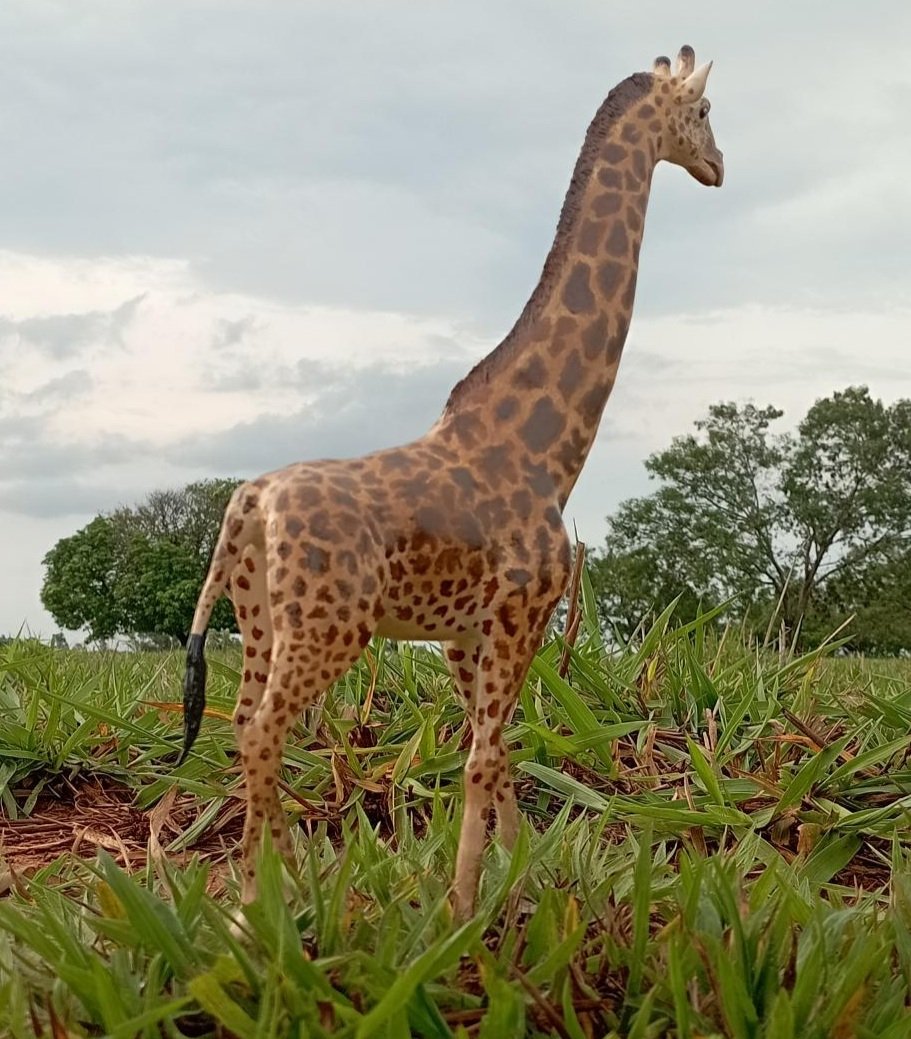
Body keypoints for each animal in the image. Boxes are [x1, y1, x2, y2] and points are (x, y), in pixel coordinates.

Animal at [180, 46, 723, 921]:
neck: (545, 450)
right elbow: (480, 756)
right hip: (329, 626)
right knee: (263, 729)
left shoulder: (467, 631)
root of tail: (250, 502)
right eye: (704, 112)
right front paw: (465, 912)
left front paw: (521, 879)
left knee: (238, 723)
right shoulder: (523, 608)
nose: (717, 167)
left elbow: (495, 753)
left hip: (257, 613)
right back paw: (271, 907)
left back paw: (252, 901)